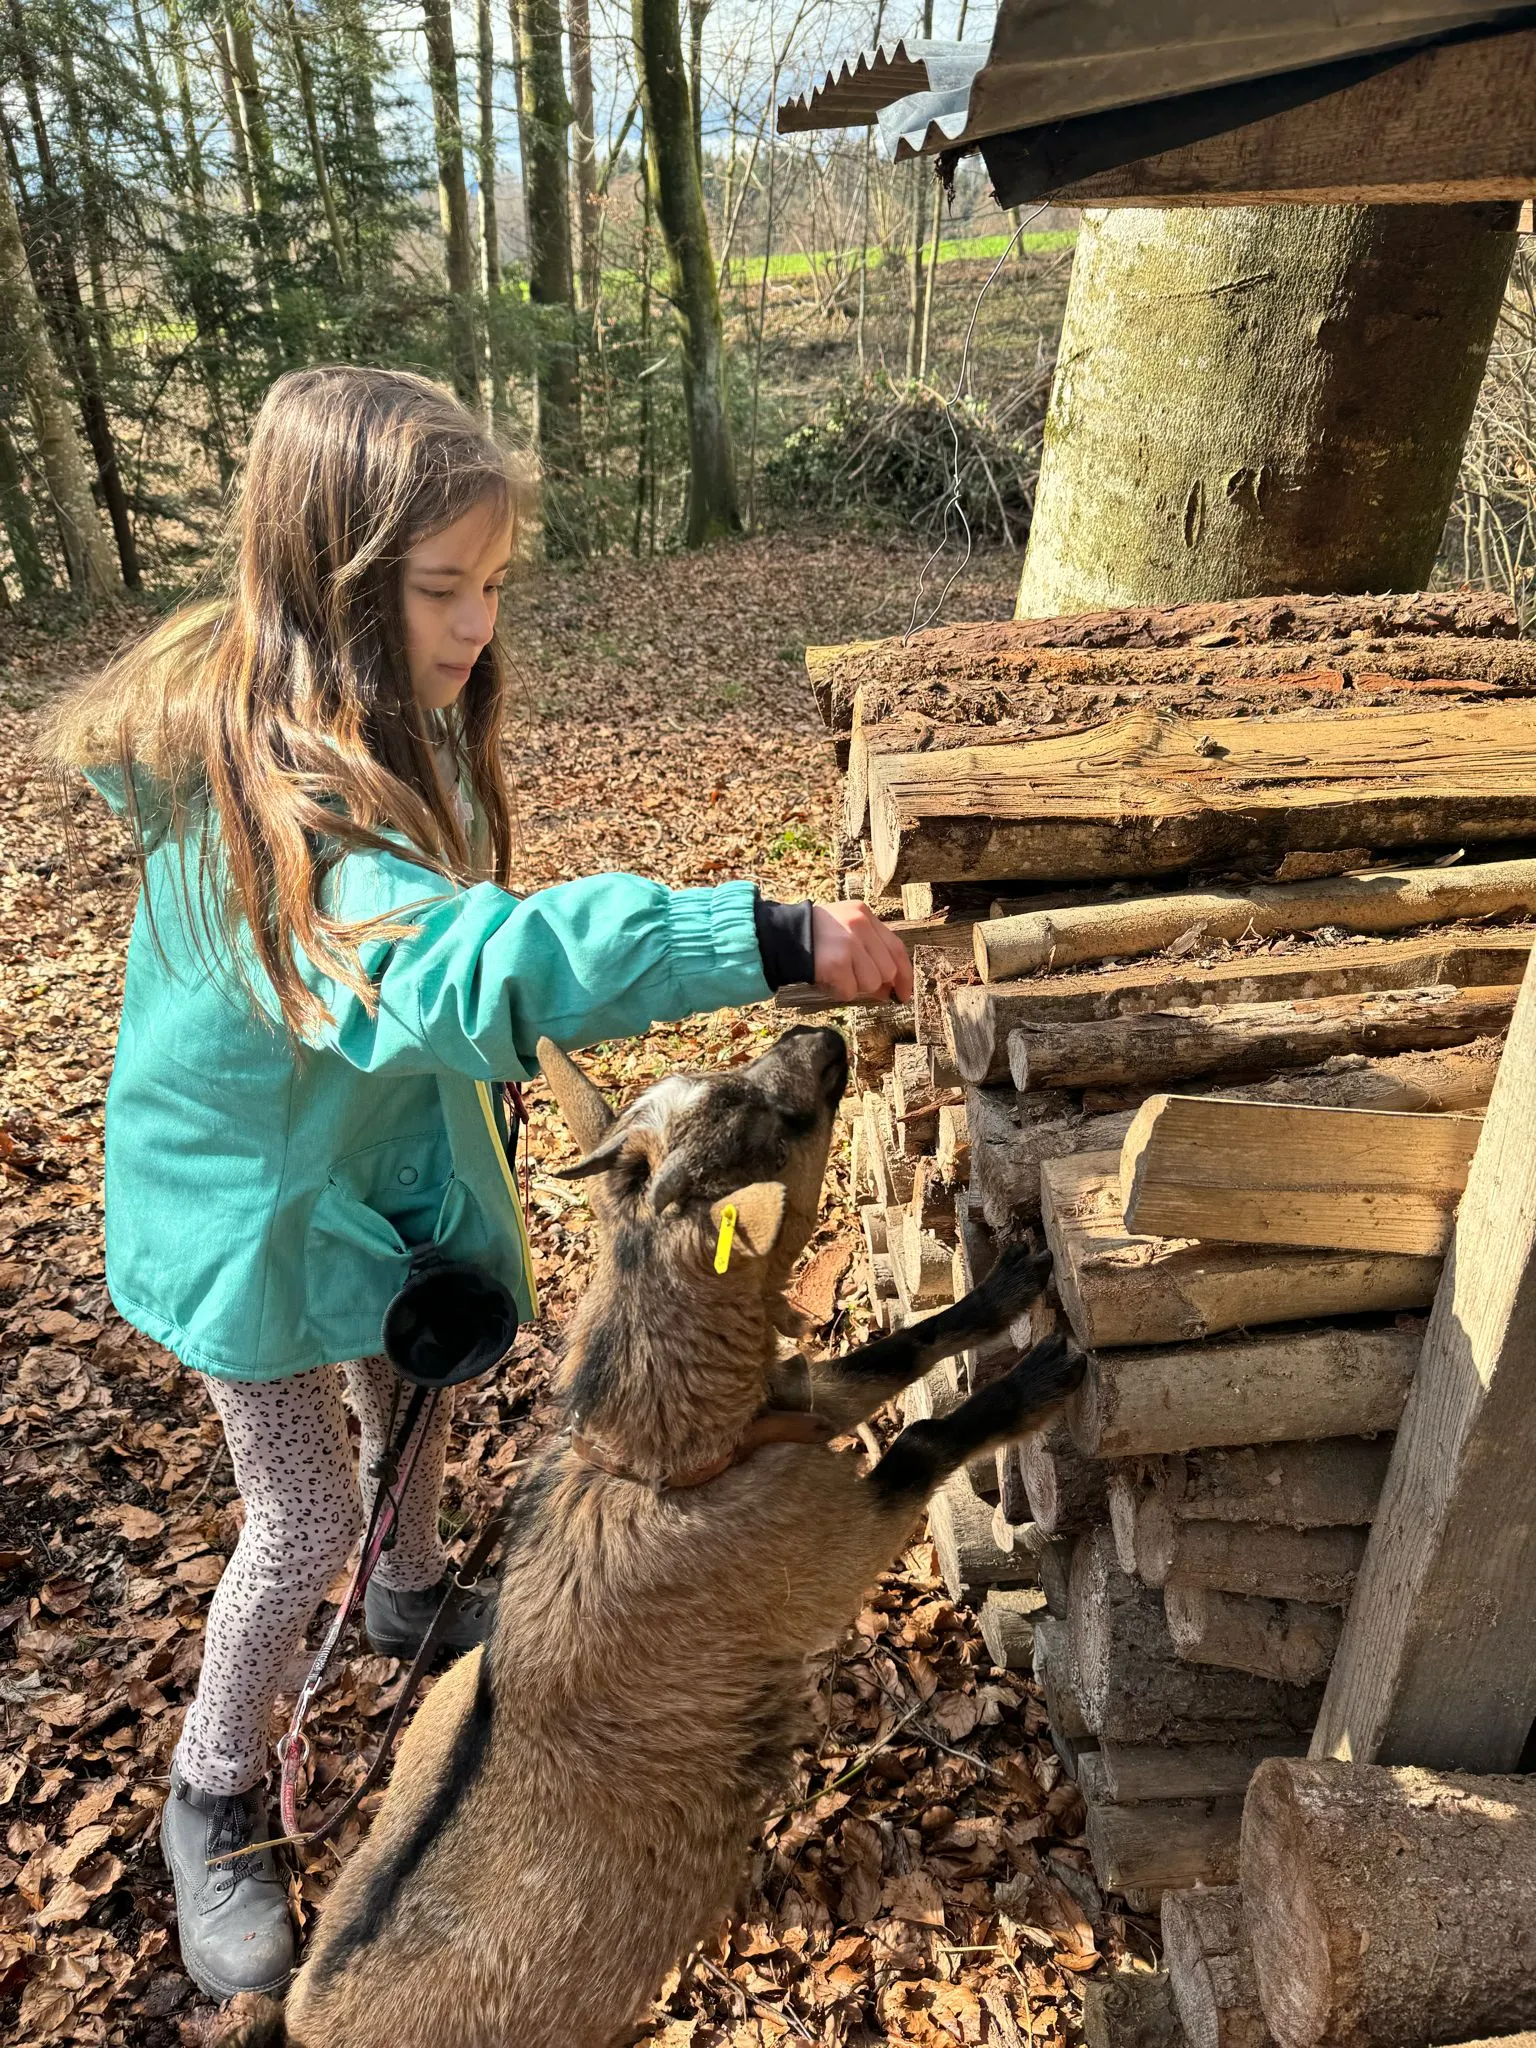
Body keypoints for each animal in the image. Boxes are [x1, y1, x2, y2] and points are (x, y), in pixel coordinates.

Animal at [237, 1032, 1081, 2048]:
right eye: (780, 1122)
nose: (821, 1040)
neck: (663, 1458)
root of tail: (307, 2018)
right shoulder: (822, 1543)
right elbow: (920, 1439)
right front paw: (1042, 1377)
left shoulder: (799, 1406)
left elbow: (893, 1353)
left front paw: (1009, 1285)